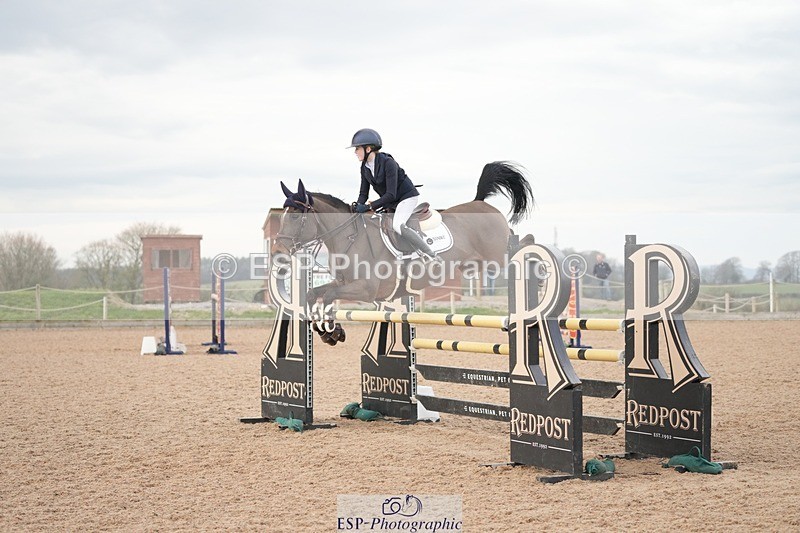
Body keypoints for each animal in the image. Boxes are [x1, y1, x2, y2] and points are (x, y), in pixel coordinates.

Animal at [274, 161, 533, 345]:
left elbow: (328, 297)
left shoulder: (366, 289)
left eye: (295, 216)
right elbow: (313, 295)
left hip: (497, 258)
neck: (350, 237)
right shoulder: (343, 283)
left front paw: (331, 332)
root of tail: (480, 202)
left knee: (520, 249)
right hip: (479, 264)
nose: (278, 251)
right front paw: (327, 332)